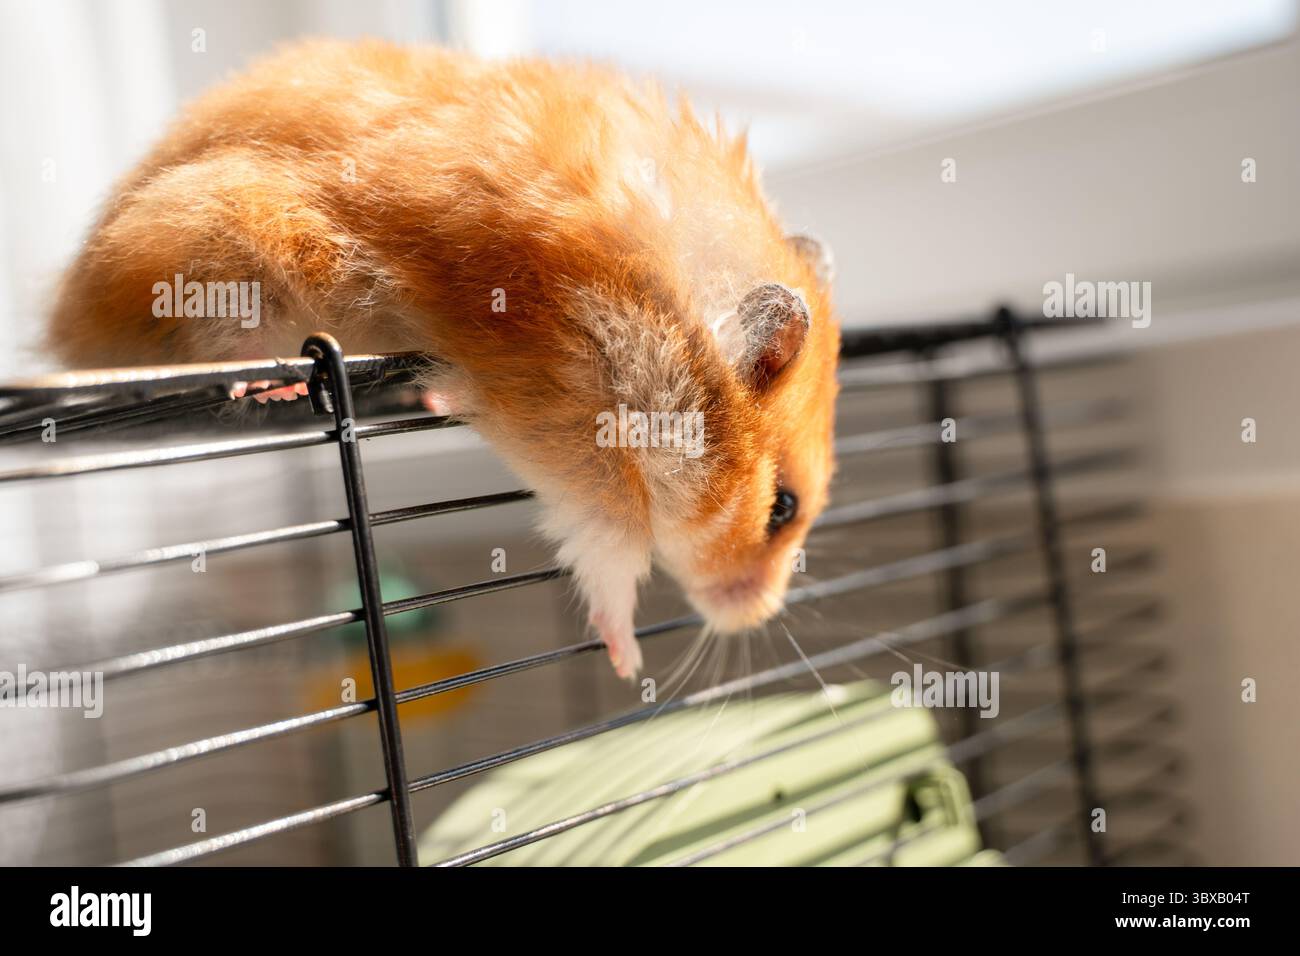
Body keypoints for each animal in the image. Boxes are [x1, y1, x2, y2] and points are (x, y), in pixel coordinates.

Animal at [47, 39, 841, 680]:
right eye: (782, 509)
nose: (756, 616)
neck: (662, 319)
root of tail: (68, 323)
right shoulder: (578, 454)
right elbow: (609, 561)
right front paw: (627, 663)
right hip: (228, 246)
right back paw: (269, 386)